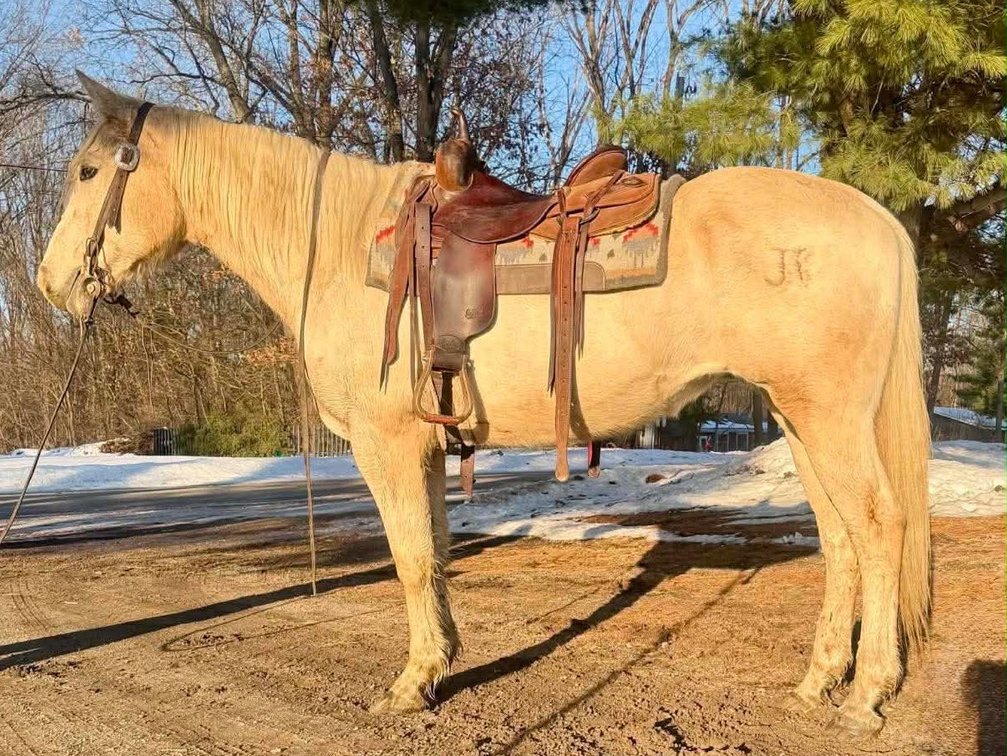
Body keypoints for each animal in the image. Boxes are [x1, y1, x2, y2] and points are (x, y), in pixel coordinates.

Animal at [37, 74, 930, 738]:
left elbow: (410, 557)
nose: (50, 285)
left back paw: (865, 693)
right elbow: (432, 551)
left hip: (828, 417)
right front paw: (437, 666)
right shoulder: (426, 445)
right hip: (800, 418)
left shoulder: (388, 442)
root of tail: (875, 218)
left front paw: (409, 684)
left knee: (877, 526)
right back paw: (818, 681)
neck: (340, 245)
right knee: (839, 539)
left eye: (86, 173)